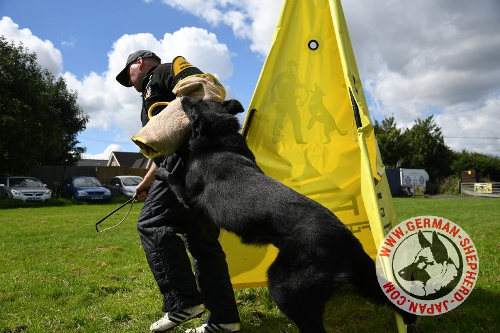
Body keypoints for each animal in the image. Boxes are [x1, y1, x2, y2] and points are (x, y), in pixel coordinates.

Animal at [162, 96, 416, 332]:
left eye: (194, 104)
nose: (182, 96)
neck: (218, 134)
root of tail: (350, 243)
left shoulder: (189, 199)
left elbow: (173, 179)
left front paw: (163, 168)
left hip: (284, 285)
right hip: (357, 280)